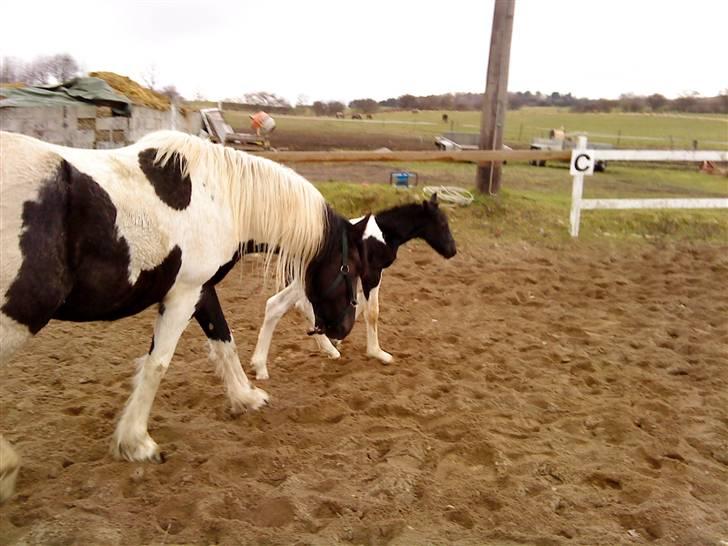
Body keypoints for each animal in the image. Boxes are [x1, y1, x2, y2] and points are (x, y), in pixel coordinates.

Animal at [0, 129, 364, 502]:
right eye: (349, 267)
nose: (344, 328)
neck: (219, 198)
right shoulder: (183, 295)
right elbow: (158, 365)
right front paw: (136, 443)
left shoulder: (202, 291)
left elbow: (224, 342)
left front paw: (246, 397)